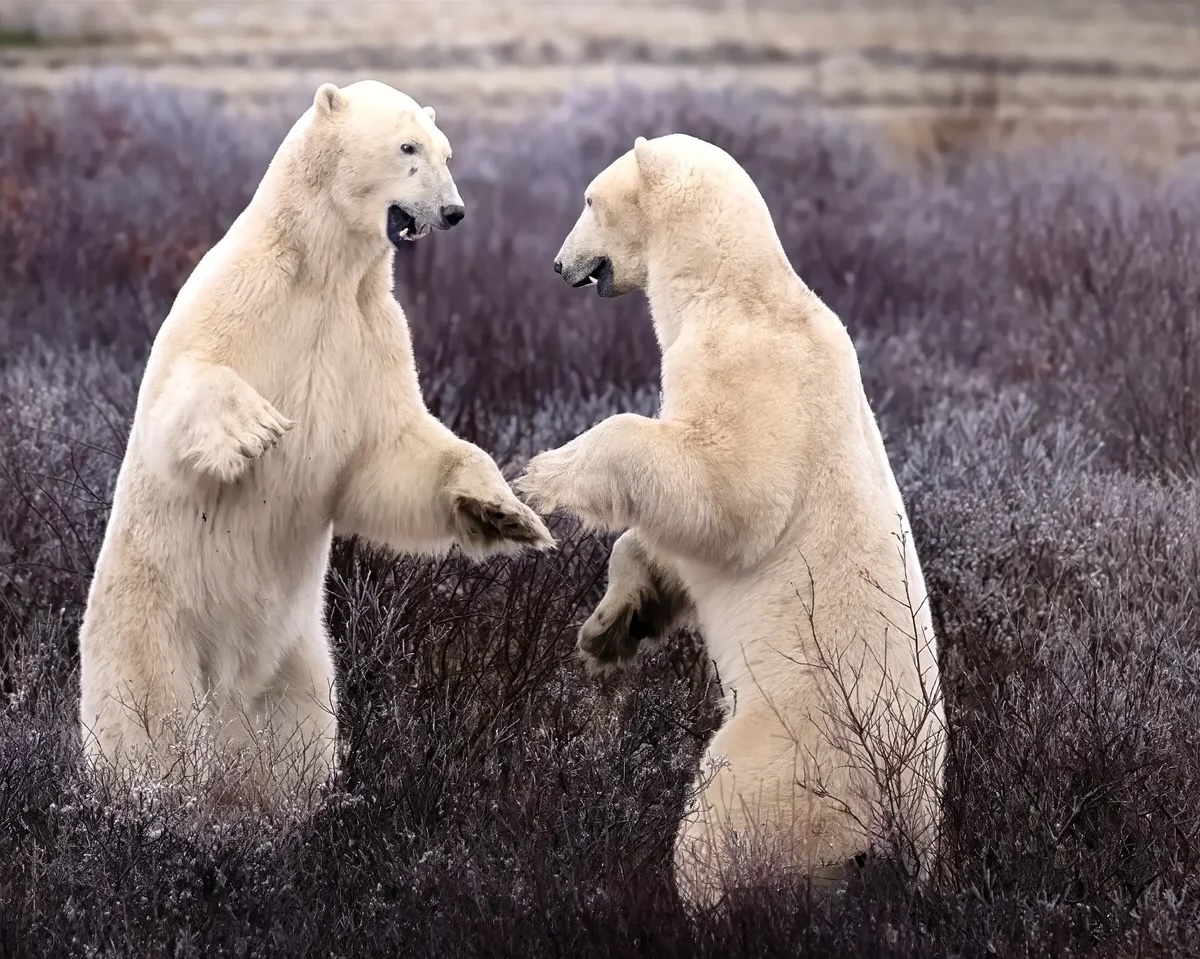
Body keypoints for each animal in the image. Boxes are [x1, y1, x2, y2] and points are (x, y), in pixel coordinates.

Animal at [78, 80, 554, 805]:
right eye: (407, 147)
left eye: (444, 150)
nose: (453, 210)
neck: (321, 270)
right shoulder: (239, 295)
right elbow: (178, 396)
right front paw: (254, 427)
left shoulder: (371, 330)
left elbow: (389, 454)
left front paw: (503, 511)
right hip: (153, 621)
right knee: (152, 721)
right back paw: (156, 795)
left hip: (302, 657)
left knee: (297, 733)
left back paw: (289, 803)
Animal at [518, 133, 944, 907]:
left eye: (590, 198)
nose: (560, 264)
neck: (739, 291)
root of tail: (900, 836)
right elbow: (664, 546)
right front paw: (610, 630)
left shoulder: (747, 368)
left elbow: (728, 492)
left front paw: (542, 474)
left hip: (790, 751)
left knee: (722, 817)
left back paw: (698, 897)